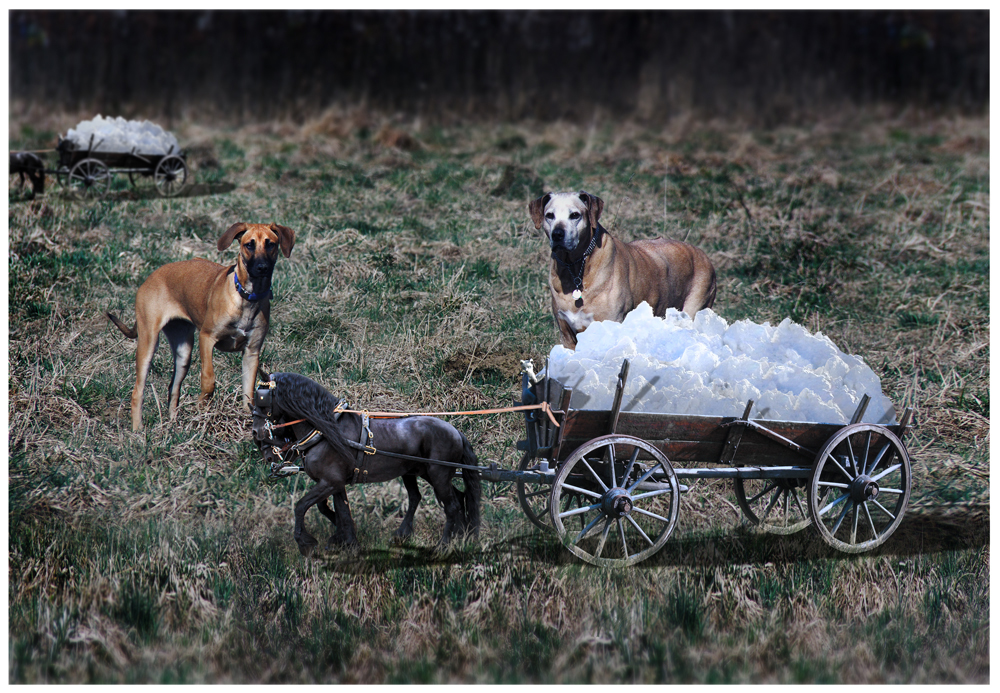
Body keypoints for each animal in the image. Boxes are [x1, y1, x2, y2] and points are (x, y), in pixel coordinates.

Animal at [111, 223, 296, 428]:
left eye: (271, 244)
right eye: (249, 245)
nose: (262, 267)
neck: (247, 297)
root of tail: (151, 276)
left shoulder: (251, 352)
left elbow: (248, 393)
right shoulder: (207, 338)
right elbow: (208, 380)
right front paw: (202, 409)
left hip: (184, 352)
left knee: (173, 388)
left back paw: (174, 426)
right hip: (148, 342)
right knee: (138, 391)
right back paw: (138, 430)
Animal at [254, 370, 480, 556]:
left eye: (262, 399)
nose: (256, 433)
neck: (325, 431)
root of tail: (455, 431)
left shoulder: (330, 482)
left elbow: (301, 506)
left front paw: (306, 543)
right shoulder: (335, 484)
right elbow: (339, 511)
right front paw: (348, 542)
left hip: (438, 474)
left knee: (451, 505)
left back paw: (443, 546)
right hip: (421, 472)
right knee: (444, 497)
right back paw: (457, 535)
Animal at [528, 189, 716, 348]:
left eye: (575, 215)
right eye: (549, 216)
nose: (557, 234)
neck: (578, 267)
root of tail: (704, 256)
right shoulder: (566, 333)